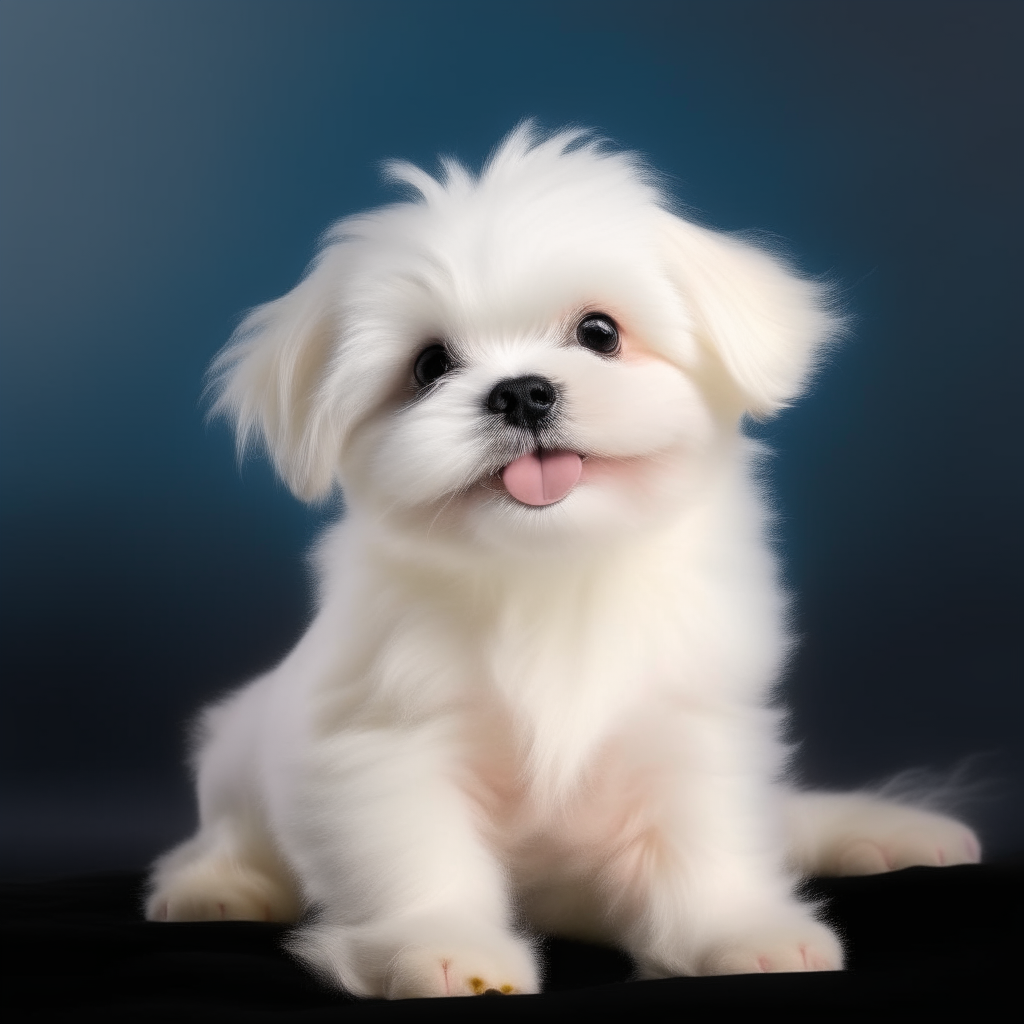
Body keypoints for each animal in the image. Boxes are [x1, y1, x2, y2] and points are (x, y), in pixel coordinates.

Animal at [148, 123, 978, 995]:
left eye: (599, 333)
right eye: (429, 366)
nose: (520, 391)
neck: (553, 569)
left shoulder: (689, 719)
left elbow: (704, 837)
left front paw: (735, 930)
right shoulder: (384, 739)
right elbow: (417, 852)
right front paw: (447, 949)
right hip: (236, 753)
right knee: (233, 836)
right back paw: (217, 887)